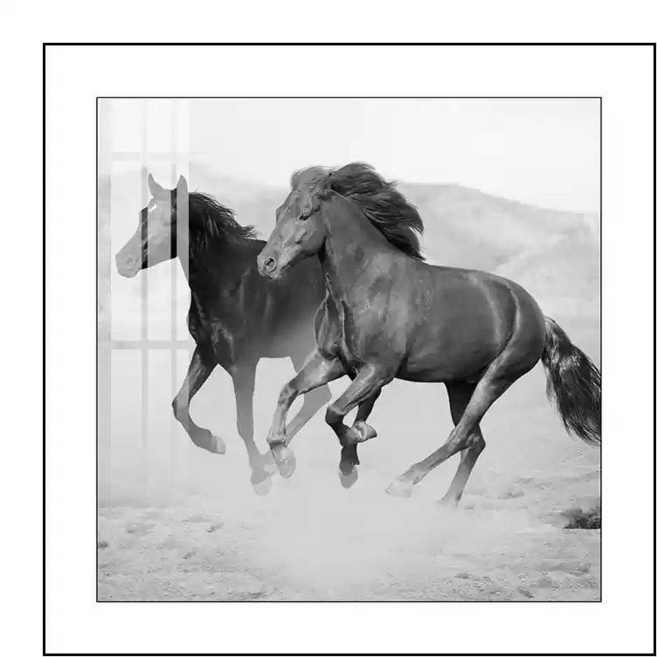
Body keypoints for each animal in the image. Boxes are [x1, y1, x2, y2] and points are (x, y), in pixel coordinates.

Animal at [115, 174, 331, 494]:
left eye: (170, 220)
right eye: (142, 214)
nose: (123, 261)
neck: (228, 285)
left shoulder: (244, 365)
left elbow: (244, 423)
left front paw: (259, 477)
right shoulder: (207, 352)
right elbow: (179, 404)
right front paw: (214, 443)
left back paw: (277, 461)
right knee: (317, 398)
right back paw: (279, 460)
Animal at [256, 163, 601, 504]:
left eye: (304, 214)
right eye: (278, 212)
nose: (266, 263)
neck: (364, 285)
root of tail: (539, 316)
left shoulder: (378, 370)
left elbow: (335, 412)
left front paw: (357, 445)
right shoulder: (333, 361)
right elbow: (290, 391)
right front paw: (286, 459)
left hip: (495, 378)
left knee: (460, 436)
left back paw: (403, 482)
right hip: (460, 383)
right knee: (475, 441)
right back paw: (446, 504)